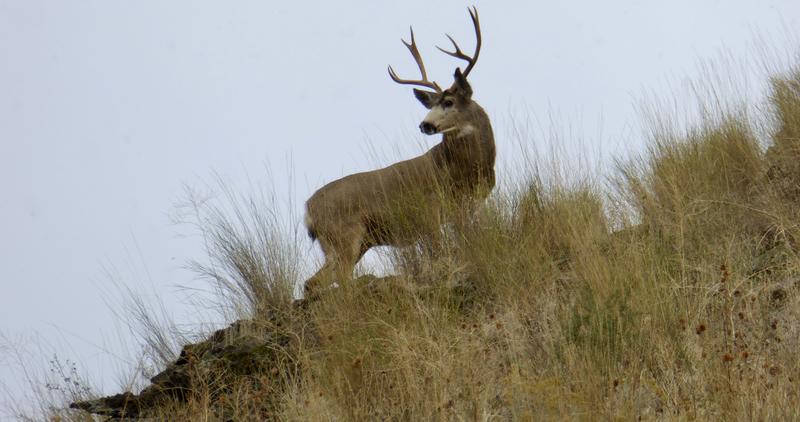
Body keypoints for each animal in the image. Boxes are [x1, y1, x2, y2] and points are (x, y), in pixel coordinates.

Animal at [306, 8, 494, 296]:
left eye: (449, 102)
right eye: (435, 104)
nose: (425, 124)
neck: (462, 169)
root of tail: (308, 209)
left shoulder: (469, 206)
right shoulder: (429, 208)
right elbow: (441, 255)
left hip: (353, 243)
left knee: (311, 282)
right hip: (345, 235)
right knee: (342, 280)